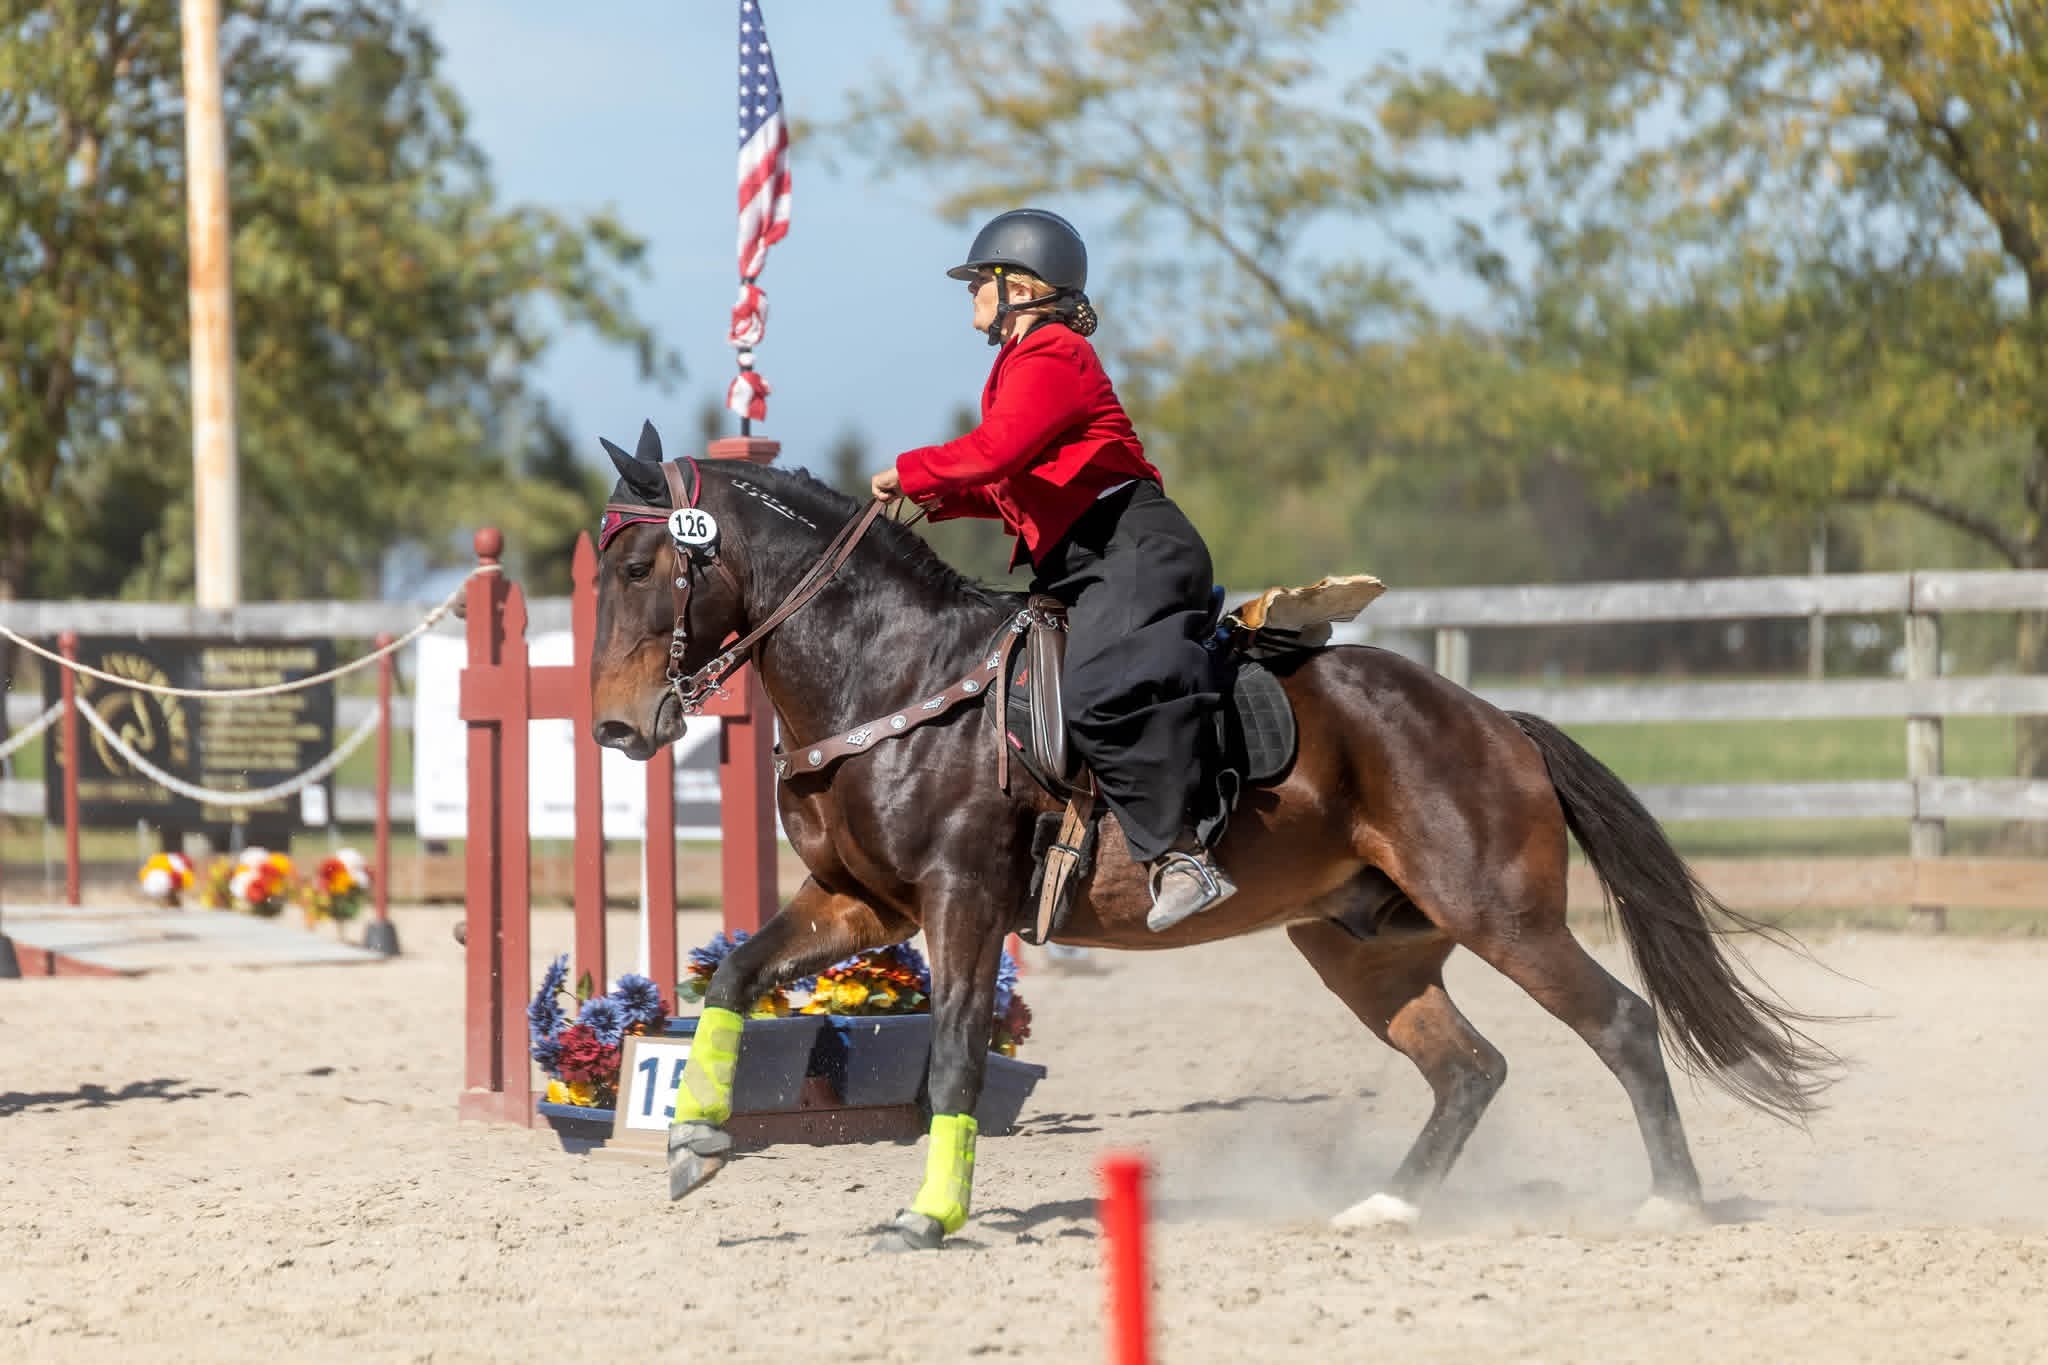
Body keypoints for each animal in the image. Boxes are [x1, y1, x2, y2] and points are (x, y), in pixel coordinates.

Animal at [587, 423, 1837, 1250]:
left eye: (642, 565)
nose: (613, 724)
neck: (893, 671)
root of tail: (1494, 722)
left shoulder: (960, 902)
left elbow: (951, 1055)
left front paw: (929, 1213)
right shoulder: (863, 903)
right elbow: (737, 973)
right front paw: (695, 1140)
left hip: (1502, 917)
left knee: (1617, 1023)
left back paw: (1670, 1199)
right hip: (1363, 948)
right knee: (1468, 1068)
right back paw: (1387, 1205)